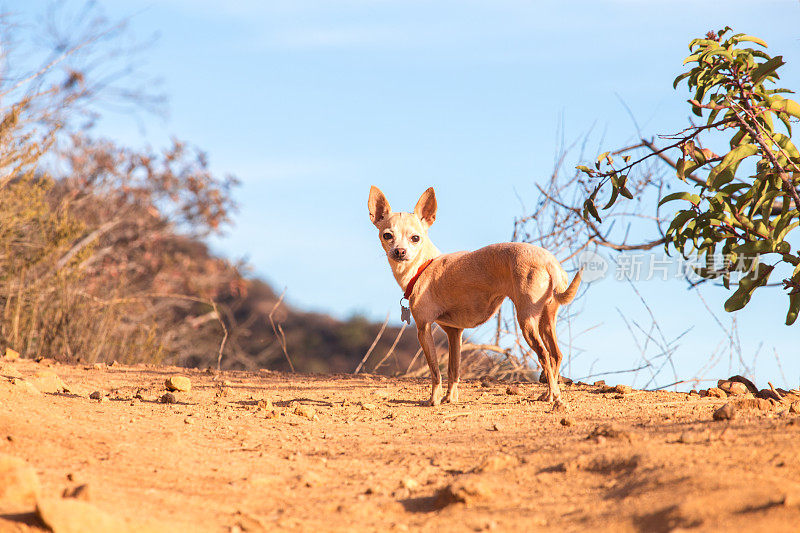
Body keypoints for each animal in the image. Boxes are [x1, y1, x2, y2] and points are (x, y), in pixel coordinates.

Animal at [368, 185, 580, 406]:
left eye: (415, 238)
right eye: (387, 236)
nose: (400, 252)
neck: (423, 267)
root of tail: (550, 262)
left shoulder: (423, 329)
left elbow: (435, 371)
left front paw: (433, 400)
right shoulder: (454, 333)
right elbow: (453, 368)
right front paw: (450, 398)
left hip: (527, 321)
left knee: (544, 355)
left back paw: (554, 396)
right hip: (546, 319)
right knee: (556, 355)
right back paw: (548, 393)